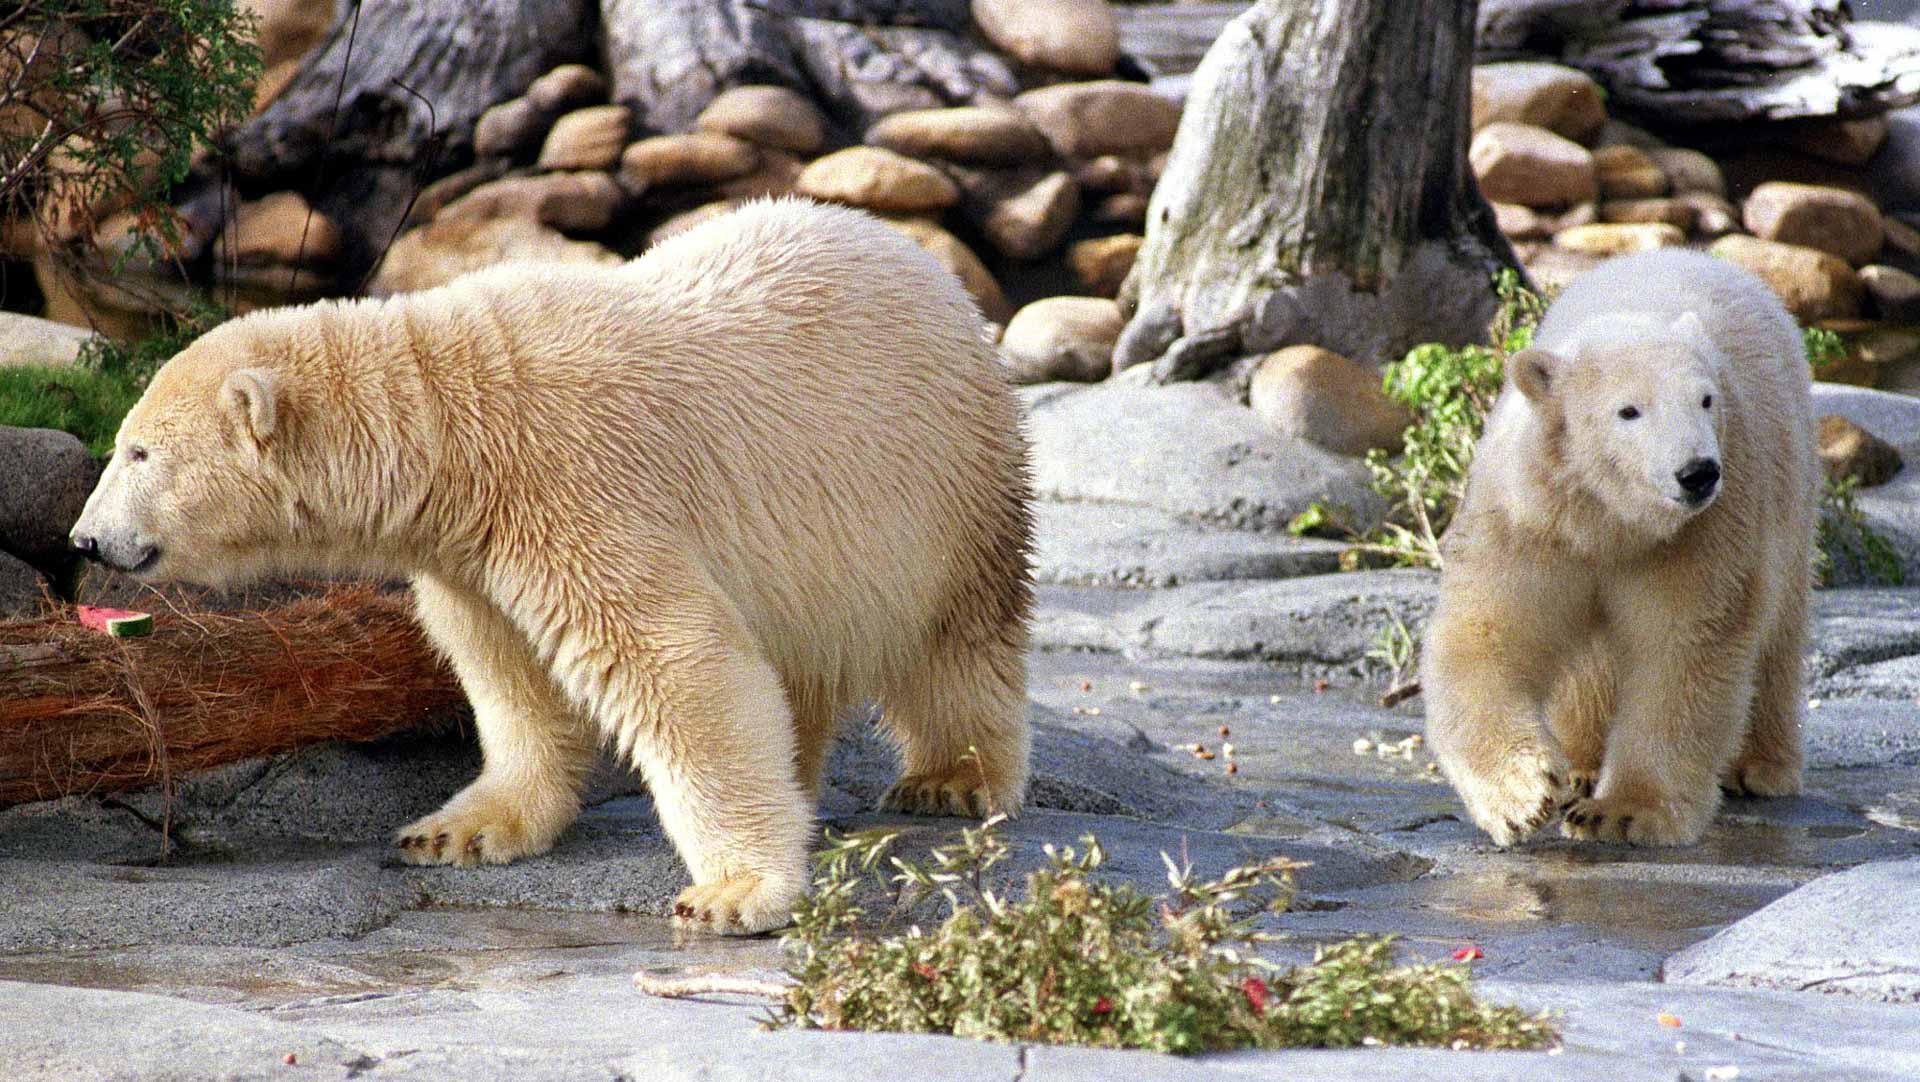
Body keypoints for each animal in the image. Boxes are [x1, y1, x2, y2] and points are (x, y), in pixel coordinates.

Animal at [68, 199, 1036, 933]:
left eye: (139, 452)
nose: (84, 540)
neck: (453, 427)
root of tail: (926, 262)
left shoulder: (576, 483)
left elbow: (676, 660)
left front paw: (734, 892)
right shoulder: (474, 552)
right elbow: (508, 673)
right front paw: (457, 832)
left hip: (943, 482)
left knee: (961, 638)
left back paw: (949, 779)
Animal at [1422, 248, 1817, 848]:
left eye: (1706, 399)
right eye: (1629, 410)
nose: (1697, 472)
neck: (1611, 517)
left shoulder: (1706, 528)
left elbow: (1685, 646)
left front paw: (1622, 812)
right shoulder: (1531, 517)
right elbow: (1490, 632)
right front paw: (1524, 796)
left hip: (1789, 482)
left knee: (1778, 627)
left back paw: (1763, 767)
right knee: (1588, 665)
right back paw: (1582, 763)